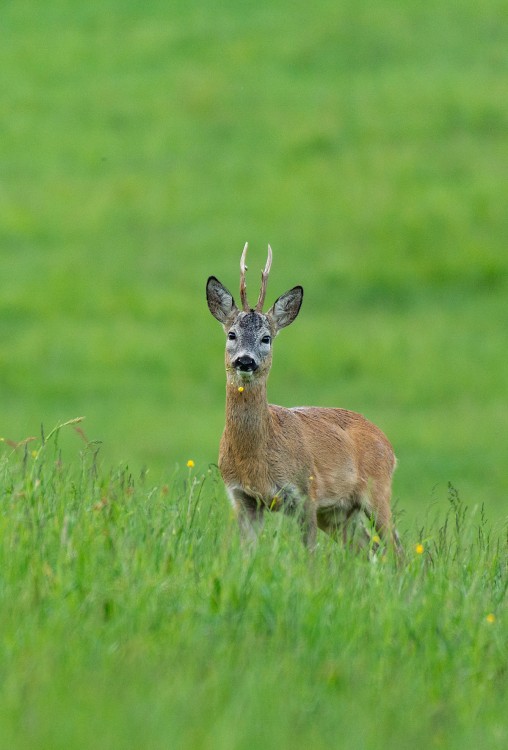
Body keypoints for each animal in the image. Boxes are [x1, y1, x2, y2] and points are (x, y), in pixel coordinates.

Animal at [206, 245, 400, 552]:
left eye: (266, 338)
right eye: (231, 334)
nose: (245, 361)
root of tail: (388, 444)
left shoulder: (306, 493)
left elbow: (309, 553)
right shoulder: (243, 498)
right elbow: (246, 553)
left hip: (377, 490)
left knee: (398, 548)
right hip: (337, 513)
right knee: (367, 546)